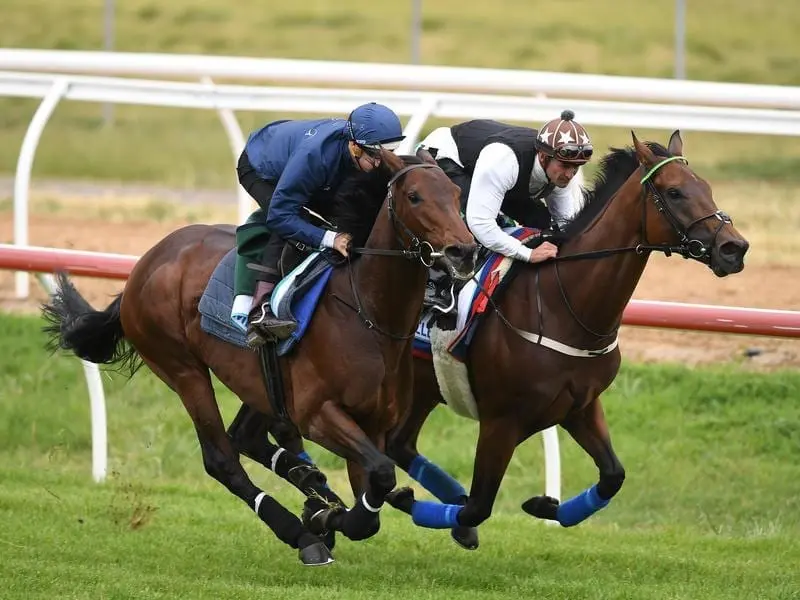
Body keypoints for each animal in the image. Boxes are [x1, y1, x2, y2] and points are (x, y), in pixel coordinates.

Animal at [42, 148, 476, 564]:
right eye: (414, 196)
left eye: (456, 195)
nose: (464, 251)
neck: (367, 313)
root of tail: (146, 263)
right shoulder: (318, 414)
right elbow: (378, 483)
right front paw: (321, 519)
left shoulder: (374, 424)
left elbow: (373, 495)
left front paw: (327, 509)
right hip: (182, 369)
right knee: (222, 459)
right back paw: (301, 533)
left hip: (261, 383)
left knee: (245, 437)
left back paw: (306, 479)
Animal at [376, 131, 752, 544]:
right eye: (675, 193)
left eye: (706, 187)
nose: (734, 248)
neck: (562, 304)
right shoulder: (501, 422)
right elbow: (479, 505)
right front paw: (423, 506)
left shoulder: (580, 407)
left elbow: (613, 476)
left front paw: (545, 506)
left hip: (425, 388)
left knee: (400, 444)